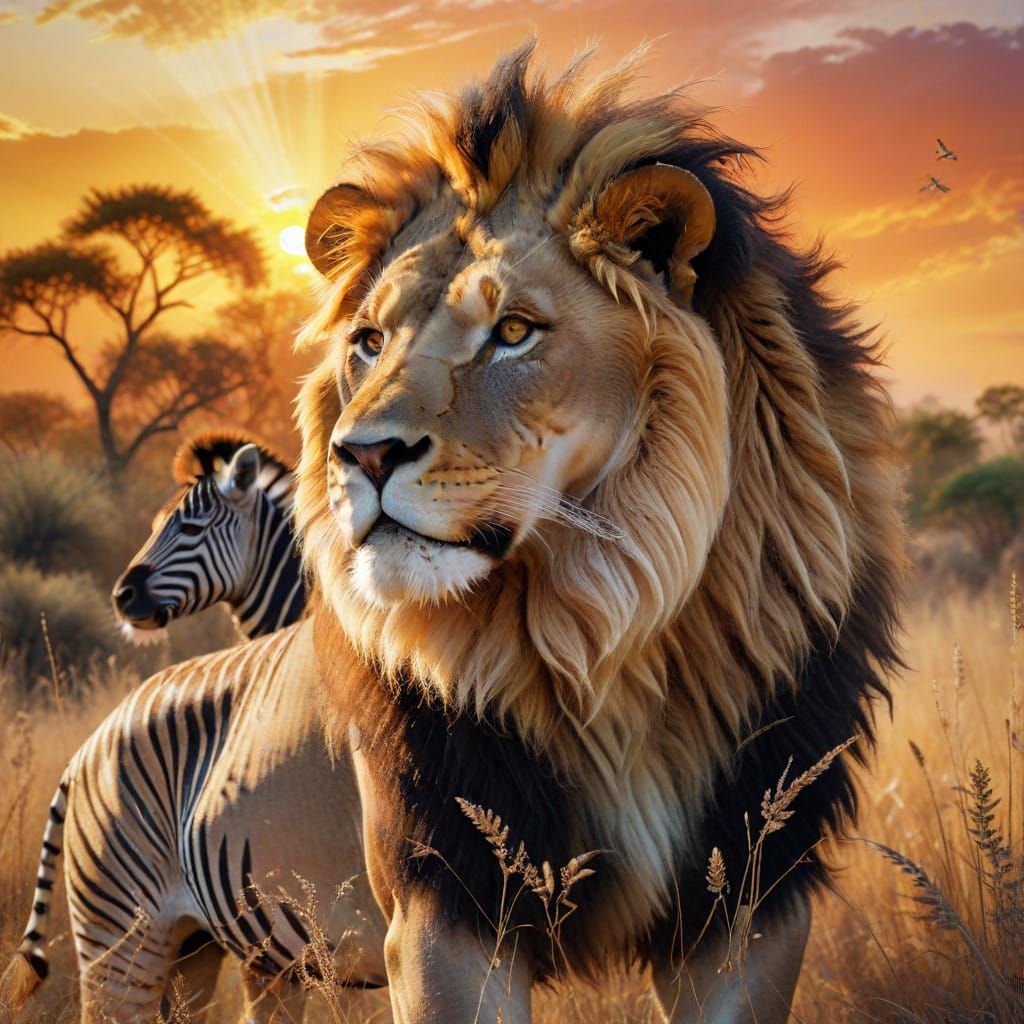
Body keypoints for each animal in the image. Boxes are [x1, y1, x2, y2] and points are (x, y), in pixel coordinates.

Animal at [294, 43, 904, 1024]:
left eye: (512, 331)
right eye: (369, 342)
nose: (363, 453)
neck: (601, 631)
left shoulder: (749, 896)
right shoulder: (444, 896)